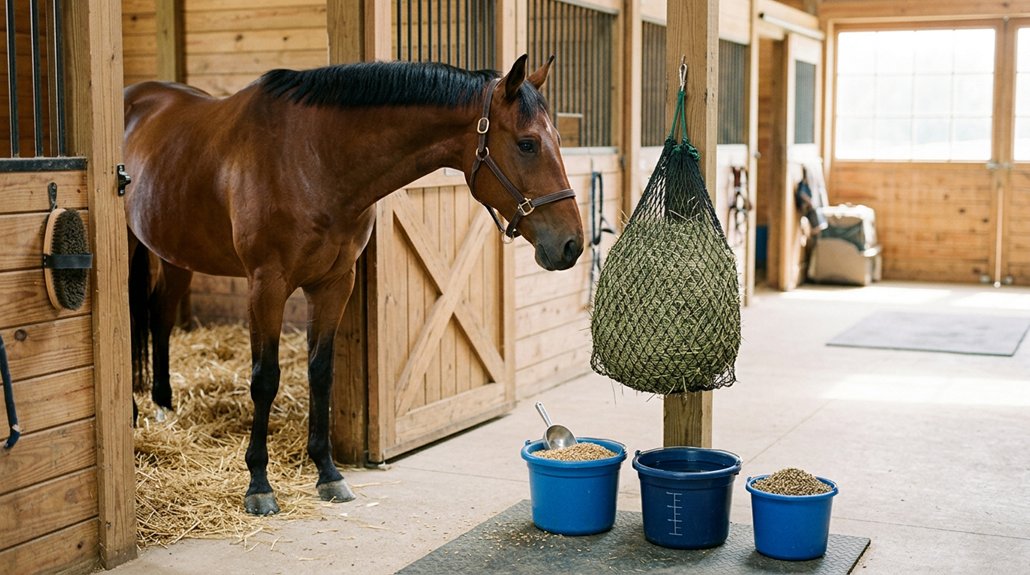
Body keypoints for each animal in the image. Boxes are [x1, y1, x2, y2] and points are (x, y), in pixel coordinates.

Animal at [123, 55, 584, 515]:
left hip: (176, 254)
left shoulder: (334, 283)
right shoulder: (265, 285)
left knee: (160, 318)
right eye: (527, 144)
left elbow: (321, 372)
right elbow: (265, 378)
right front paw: (259, 484)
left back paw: (163, 406)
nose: (572, 244)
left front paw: (328, 474)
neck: (309, 158)